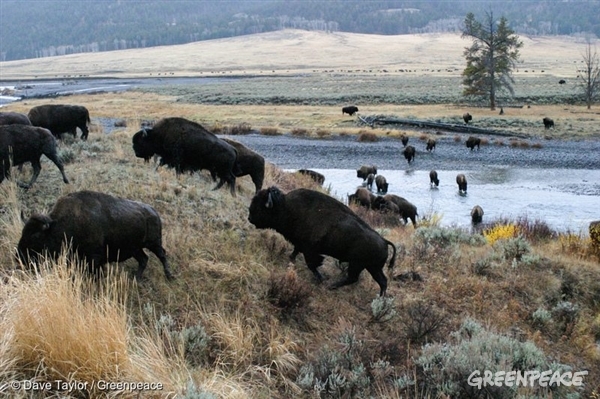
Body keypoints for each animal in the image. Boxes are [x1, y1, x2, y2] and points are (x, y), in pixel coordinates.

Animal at [17, 191, 172, 282]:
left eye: (36, 235)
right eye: (23, 232)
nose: (19, 256)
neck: (58, 225)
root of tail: (153, 212)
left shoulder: (94, 259)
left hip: (154, 243)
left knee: (162, 255)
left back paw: (169, 277)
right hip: (135, 249)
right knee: (144, 259)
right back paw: (136, 279)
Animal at [250, 188, 398, 296]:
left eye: (261, 206)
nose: (249, 217)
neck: (286, 207)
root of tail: (384, 241)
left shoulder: (310, 249)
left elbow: (312, 264)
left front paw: (321, 279)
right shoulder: (301, 244)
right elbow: (296, 251)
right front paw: (291, 259)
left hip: (359, 265)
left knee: (354, 278)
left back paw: (331, 286)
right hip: (372, 267)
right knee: (382, 281)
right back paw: (380, 298)